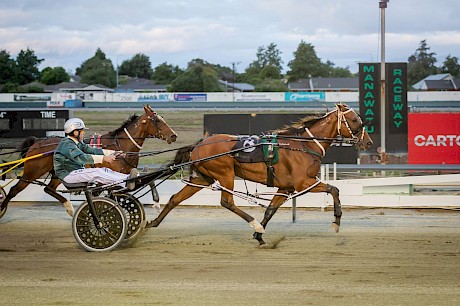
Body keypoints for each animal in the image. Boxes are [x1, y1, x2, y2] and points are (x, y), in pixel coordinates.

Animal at [0, 105, 177, 218]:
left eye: (162, 118)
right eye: (157, 121)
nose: (174, 135)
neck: (120, 145)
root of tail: (37, 142)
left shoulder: (124, 174)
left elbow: (145, 179)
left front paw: (156, 201)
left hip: (57, 175)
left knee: (48, 189)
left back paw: (69, 207)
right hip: (32, 172)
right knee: (14, 190)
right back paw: (3, 207)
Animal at [147, 104, 374, 245]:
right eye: (355, 119)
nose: (369, 142)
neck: (303, 146)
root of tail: (199, 144)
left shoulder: (285, 187)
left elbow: (270, 210)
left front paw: (259, 236)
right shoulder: (303, 183)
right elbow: (334, 189)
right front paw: (336, 222)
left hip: (203, 178)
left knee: (175, 198)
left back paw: (152, 223)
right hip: (225, 173)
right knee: (227, 202)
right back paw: (252, 221)